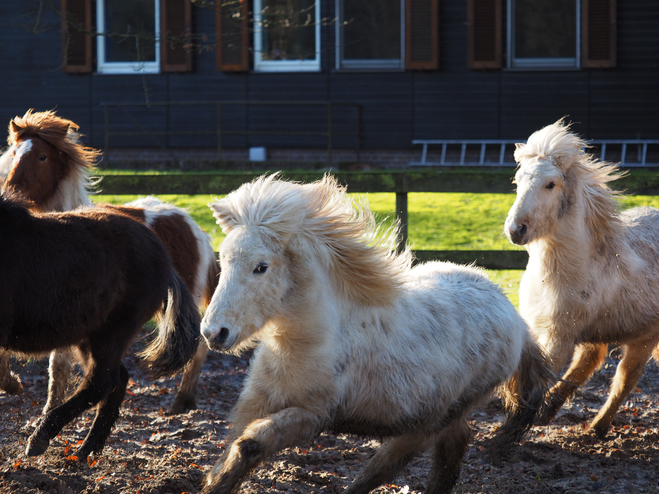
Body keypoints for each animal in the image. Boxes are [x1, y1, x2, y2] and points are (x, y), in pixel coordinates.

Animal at [0, 192, 200, 460]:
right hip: (91, 336)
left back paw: (43, 439)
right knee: (116, 379)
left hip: (112, 333)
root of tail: (166, 262)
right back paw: (87, 449)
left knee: (102, 381)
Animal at [1, 110, 220, 414]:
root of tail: (191, 224)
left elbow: (57, 361)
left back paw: (182, 401)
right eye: (14, 153)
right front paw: (35, 397)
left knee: (197, 345)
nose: (11, 192)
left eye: (42, 156)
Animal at [196, 174, 552, 494]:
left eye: (261, 267)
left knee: (390, 463)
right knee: (452, 448)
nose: (214, 332)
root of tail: (515, 318)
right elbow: (228, 454)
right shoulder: (256, 403)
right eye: (223, 259)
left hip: (436, 417)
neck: (307, 343)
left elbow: (250, 445)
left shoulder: (312, 416)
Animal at [506, 118, 659, 436]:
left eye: (551, 184)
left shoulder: (559, 336)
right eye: (517, 182)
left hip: (645, 338)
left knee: (625, 378)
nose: (516, 229)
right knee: (589, 362)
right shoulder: (536, 325)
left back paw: (597, 428)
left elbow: (538, 375)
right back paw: (552, 412)